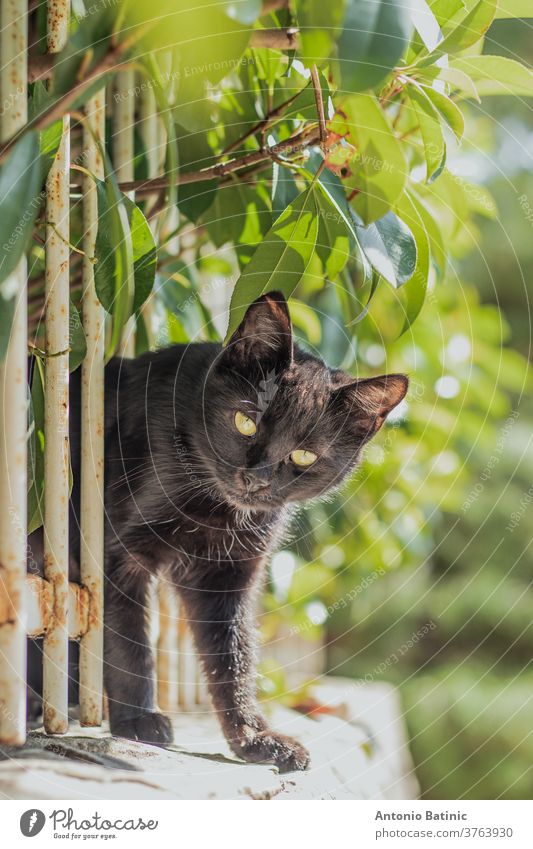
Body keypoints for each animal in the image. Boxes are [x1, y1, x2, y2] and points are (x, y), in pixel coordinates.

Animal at [28, 290, 408, 768]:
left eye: (304, 456)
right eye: (246, 422)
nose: (256, 479)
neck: (213, 507)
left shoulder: (227, 576)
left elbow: (233, 656)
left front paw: (255, 738)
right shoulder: (117, 553)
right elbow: (128, 640)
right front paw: (138, 721)